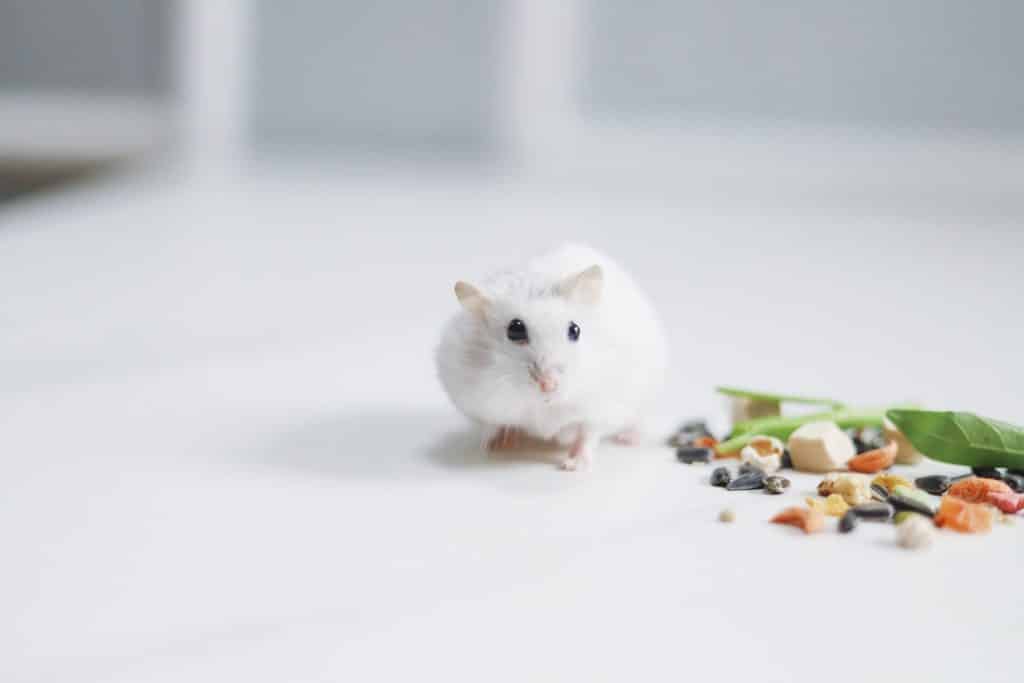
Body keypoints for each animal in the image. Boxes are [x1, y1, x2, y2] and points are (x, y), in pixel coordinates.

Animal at [434, 241, 667, 471]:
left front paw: (572, 466)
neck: (544, 406)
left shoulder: (602, 407)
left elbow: (588, 434)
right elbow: (493, 424)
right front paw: (493, 447)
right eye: (515, 330)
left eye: (575, 330)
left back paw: (628, 439)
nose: (548, 385)